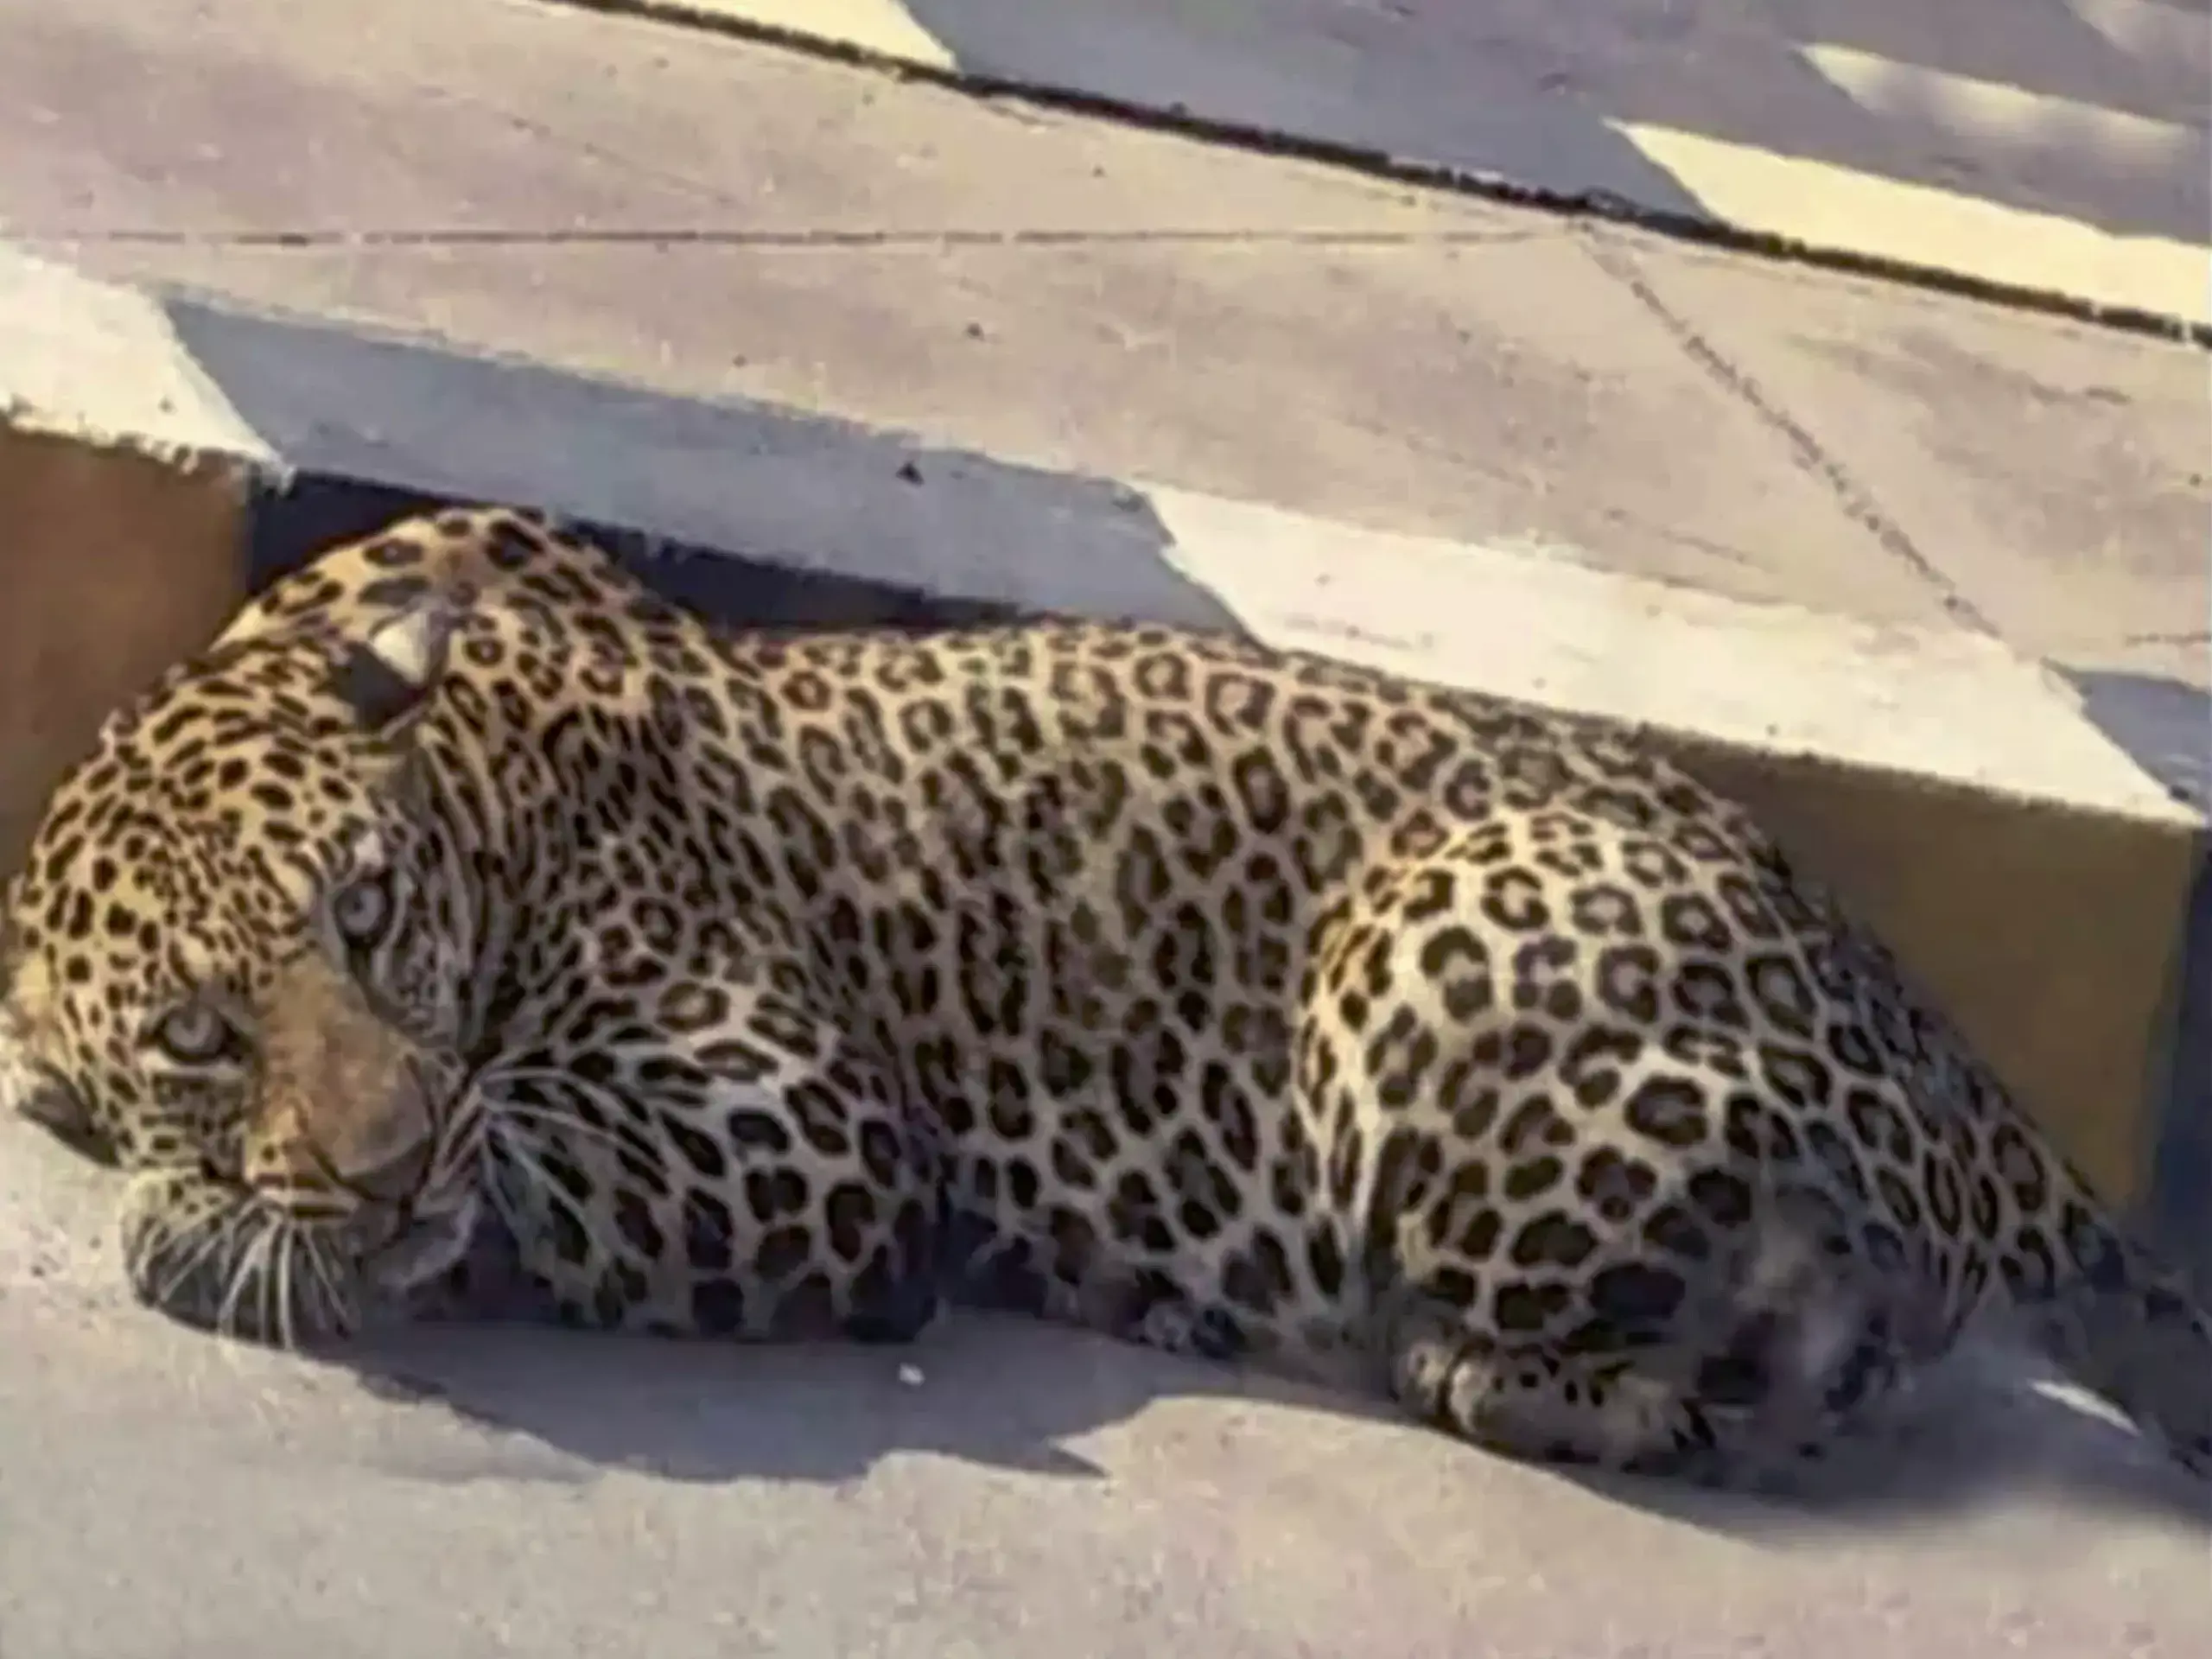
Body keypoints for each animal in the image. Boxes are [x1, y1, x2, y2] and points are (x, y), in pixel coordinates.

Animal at [2, 504, 2206, 1492]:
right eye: (197, 1033)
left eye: (369, 917)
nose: (378, 1164)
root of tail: (1939, 1037)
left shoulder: (798, 1120)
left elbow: (535, 1155)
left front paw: (221, 1232)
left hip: (1423, 942)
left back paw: (1481, 1370)